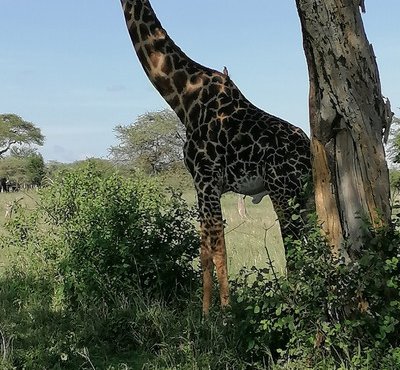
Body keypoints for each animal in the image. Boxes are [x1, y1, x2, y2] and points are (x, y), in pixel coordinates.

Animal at [119, 0, 312, 316]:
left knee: (296, 246)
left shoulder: (206, 178)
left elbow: (218, 247)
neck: (183, 98)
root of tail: (310, 154)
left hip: (284, 190)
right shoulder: (203, 184)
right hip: (303, 194)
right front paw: (206, 311)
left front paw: (221, 314)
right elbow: (204, 249)